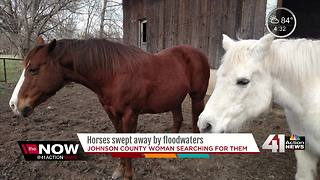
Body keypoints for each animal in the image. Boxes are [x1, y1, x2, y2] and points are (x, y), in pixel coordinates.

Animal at [8, 37, 210, 180]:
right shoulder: (112, 114)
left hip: (197, 96)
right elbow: (119, 139)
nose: (14, 105)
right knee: (178, 120)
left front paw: (128, 175)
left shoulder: (130, 115)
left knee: (195, 119)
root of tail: (197, 53)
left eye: (33, 69)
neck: (114, 75)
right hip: (174, 99)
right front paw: (119, 170)